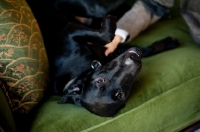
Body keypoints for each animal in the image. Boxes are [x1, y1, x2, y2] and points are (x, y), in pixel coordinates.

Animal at [26, 0, 180, 116]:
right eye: (121, 95)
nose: (134, 59)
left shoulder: (73, 32)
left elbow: (141, 48)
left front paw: (168, 43)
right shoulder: (72, 30)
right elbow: (107, 36)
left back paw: (160, 10)